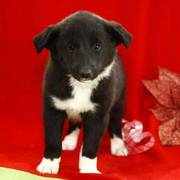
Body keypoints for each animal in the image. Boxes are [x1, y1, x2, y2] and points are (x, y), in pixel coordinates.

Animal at [33, 11, 131, 174]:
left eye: (97, 46)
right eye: (70, 48)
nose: (86, 73)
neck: (80, 86)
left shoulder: (98, 115)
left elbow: (91, 144)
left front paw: (89, 170)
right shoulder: (52, 109)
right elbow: (52, 139)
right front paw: (49, 163)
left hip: (119, 102)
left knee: (115, 125)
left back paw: (118, 146)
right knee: (74, 122)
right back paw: (69, 141)